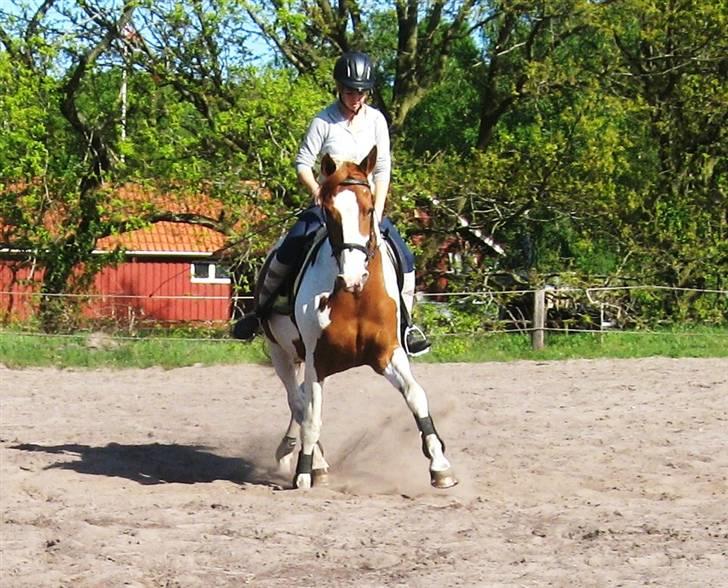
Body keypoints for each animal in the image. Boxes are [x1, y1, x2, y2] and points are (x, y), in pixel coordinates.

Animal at [260, 147, 456, 492]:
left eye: (368, 209)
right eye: (329, 212)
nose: (352, 277)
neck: (355, 298)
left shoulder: (389, 353)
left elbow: (416, 396)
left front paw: (440, 466)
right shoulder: (316, 360)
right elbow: (311, 415)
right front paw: (304, 472)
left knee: (299, 402)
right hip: (280, 353)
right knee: (298, 401)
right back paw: (315, 462)